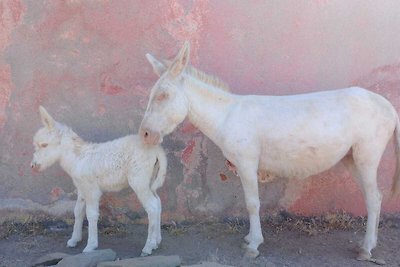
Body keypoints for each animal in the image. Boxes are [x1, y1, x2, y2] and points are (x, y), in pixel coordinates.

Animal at [31, 105, 167, 256]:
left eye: (44, 145)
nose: (33, 166)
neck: (78, 158)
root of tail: (156, 150)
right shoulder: (82, 189)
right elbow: (78, 211)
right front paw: (74, 240)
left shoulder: (91, 190)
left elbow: (91, 214)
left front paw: (90, 246)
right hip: (151, 180)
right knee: (158, 203)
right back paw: (157, 241)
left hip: (139, 180)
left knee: (152, 207)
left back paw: (148, 247)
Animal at [140, 42, 400, 262]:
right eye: (151, 95)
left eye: (163, 95)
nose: (144, 135)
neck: (227, 116)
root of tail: (387, 105)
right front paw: (250, 239)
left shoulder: (247, 164)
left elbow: (252, 203)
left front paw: (253, 245)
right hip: (351, 158)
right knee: (375, 197)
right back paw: (369, 245)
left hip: (367, 157)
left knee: (372, 199)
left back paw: (366, 249)